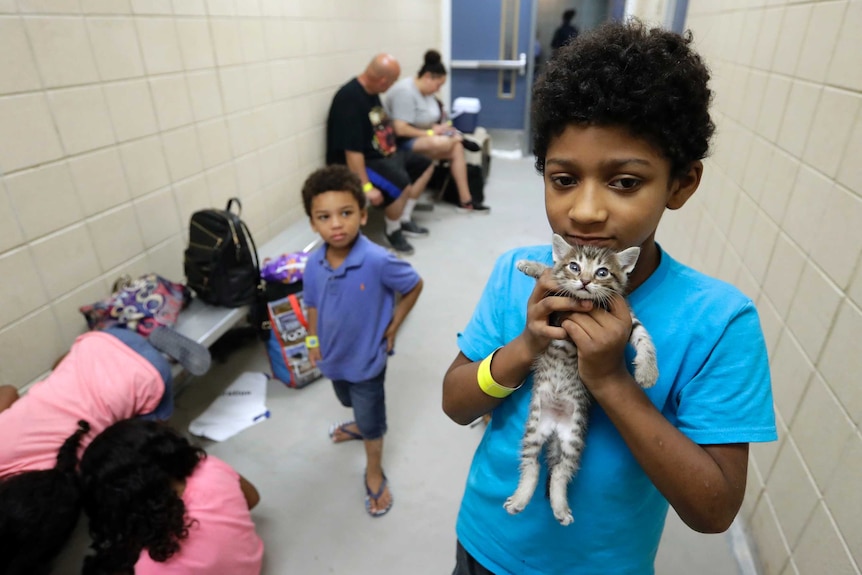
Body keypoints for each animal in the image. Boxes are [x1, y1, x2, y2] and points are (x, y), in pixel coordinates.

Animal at [502, 234, 660, 528]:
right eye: (574, 266)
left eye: (602, 272)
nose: (585, 281)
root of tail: (553, 426)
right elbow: (553, 275)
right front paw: (532, 266)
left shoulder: (626, 315)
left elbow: (644, 337)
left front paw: (647, 371)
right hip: (534, 428)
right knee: (532, 463)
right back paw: (520, 499)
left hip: (573, 437)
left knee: (560, 471)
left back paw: (559, 507)